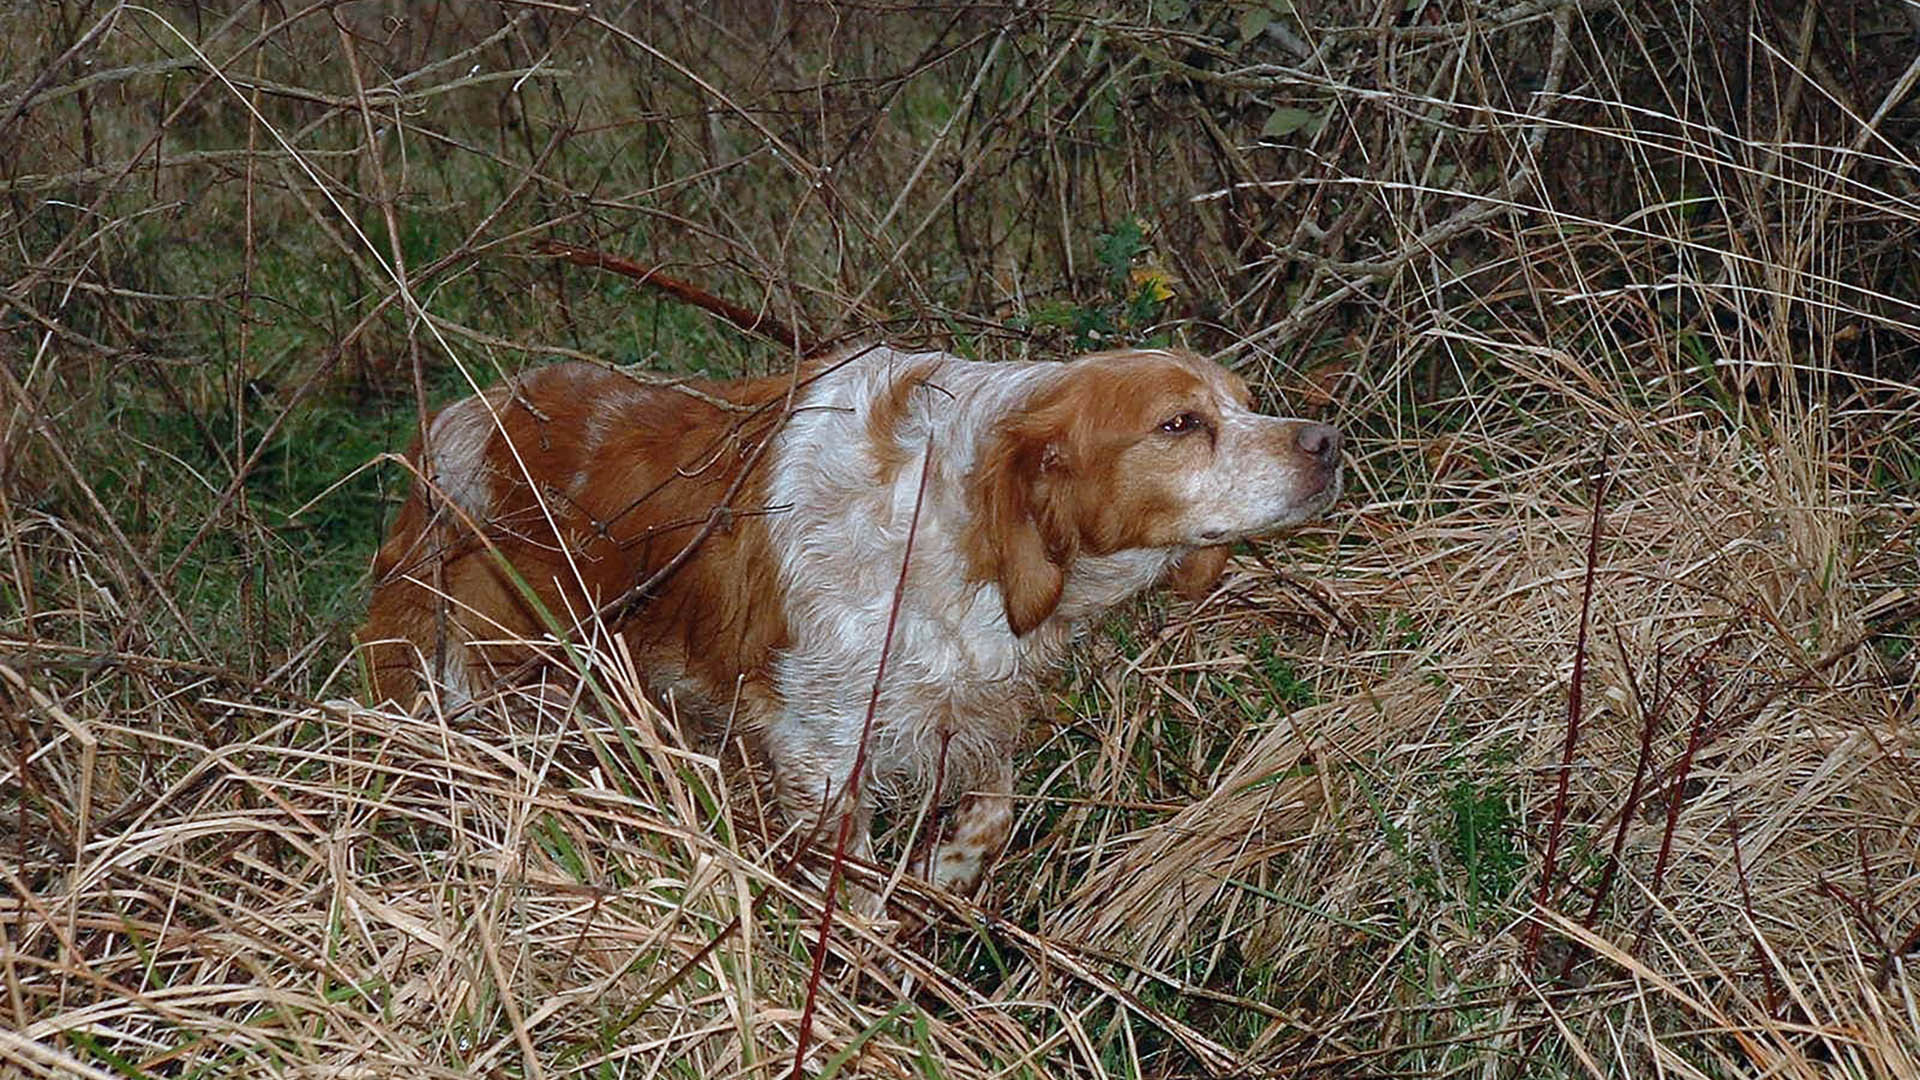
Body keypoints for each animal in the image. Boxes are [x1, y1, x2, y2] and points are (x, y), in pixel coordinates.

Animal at [362, 343, 1351, 891]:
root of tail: (442, 431)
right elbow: (860, 896)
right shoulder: (822, 749)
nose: (1328, 442)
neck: (946, 522)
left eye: (1244, 402)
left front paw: (942, 883)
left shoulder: (972, 710)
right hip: (460, 689)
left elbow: (990, 816)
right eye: (1179, 424)